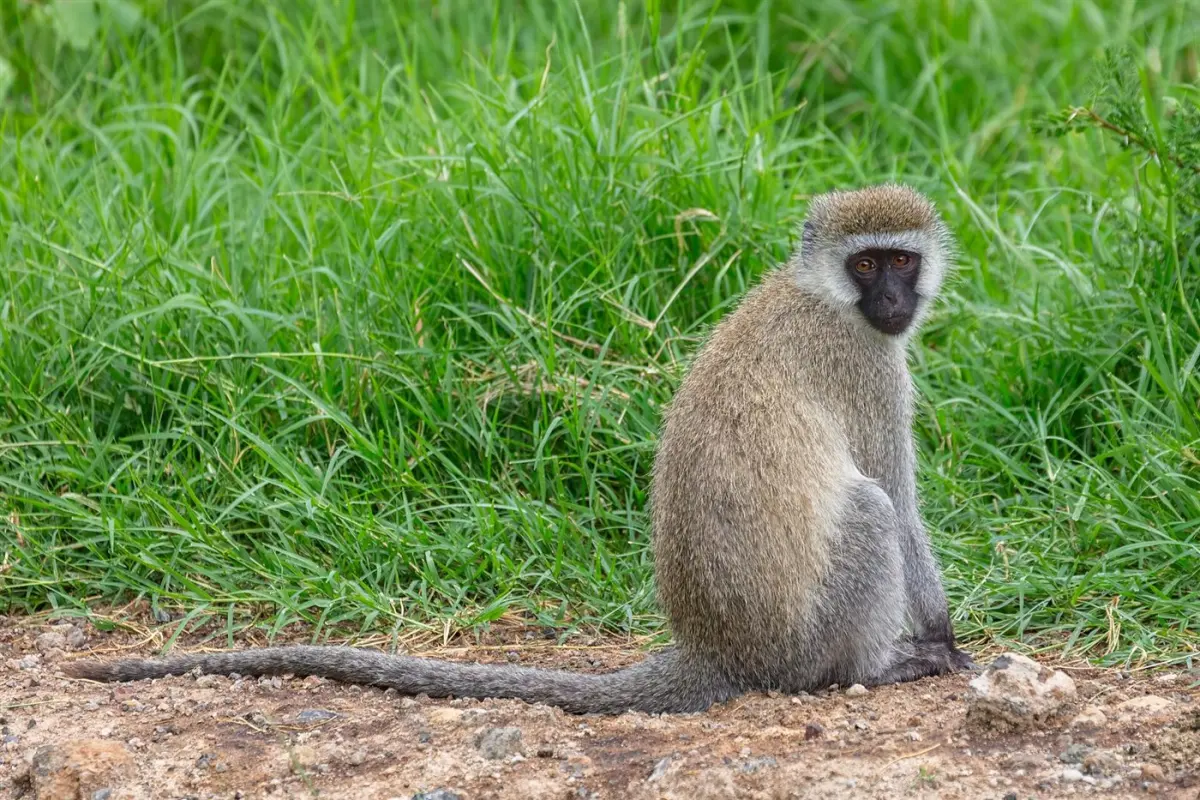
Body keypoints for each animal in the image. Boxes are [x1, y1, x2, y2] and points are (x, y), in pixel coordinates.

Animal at [64, 183, 975, 714]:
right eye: (868, 265)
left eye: (901, 259)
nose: (893, 301)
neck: (824, 298)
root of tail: (720, 649)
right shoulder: (865, 369)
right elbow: (898, 497)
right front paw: (942, 636)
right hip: (802, 639)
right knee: (869, 513)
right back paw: (870, 667)